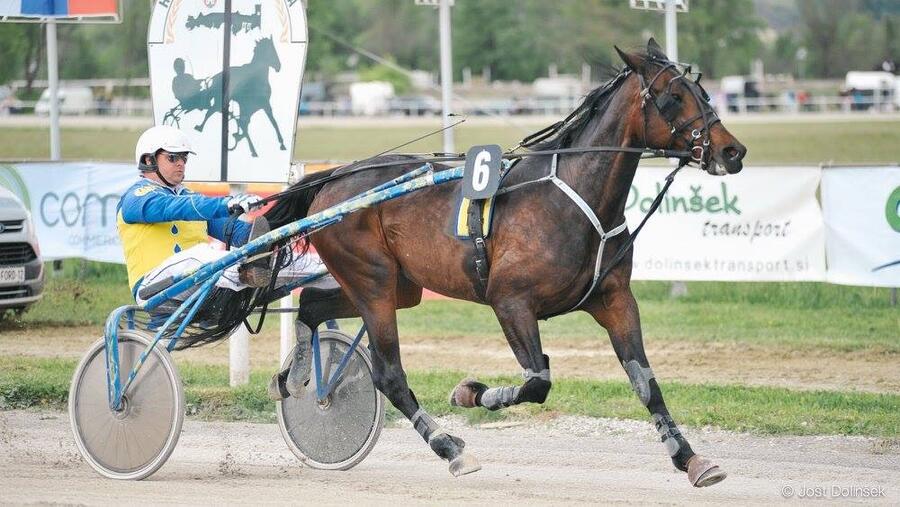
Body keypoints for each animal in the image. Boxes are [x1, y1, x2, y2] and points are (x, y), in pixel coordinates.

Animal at [266, 40, 744, 488]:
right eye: (673, 97)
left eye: (702, 92)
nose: (733, 151)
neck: (573, 195)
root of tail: (333, 180)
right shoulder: (509, 300)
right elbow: (537, 381)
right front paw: (467, 393)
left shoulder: (615, 299)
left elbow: (646, 383)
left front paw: (691, 459)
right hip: (373, 283)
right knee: (388, 374)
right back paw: (449, 447)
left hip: (397, 287)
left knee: (311, 304)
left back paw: (297, 377)